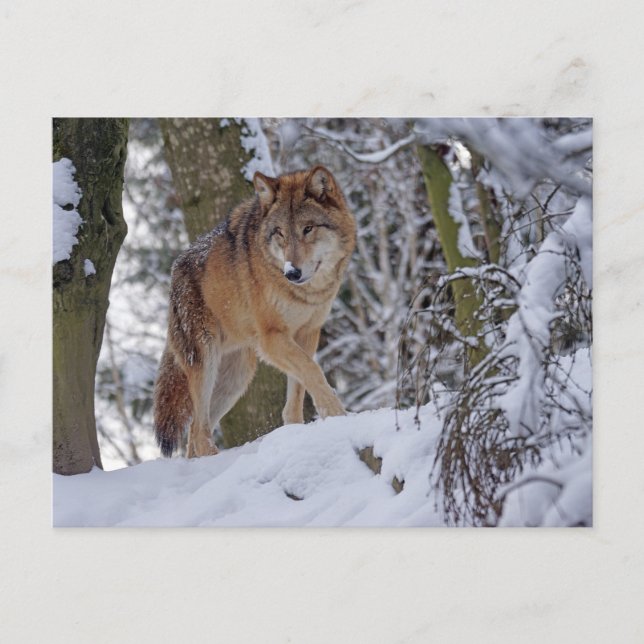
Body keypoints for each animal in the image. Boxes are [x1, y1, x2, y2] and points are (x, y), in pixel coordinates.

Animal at [153, 166, 356, 458]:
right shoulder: (272, 338)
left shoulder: (307, 333)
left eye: (308, 229)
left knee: (194, 434)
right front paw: (337, 414)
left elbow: (299, 388)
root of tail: (175, 270)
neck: (306, 293)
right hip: (206, 361)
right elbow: (313, 371)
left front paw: (297, 431)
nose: (292, 272)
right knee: (198, 430)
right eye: (280, 233)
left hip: (236, 377)